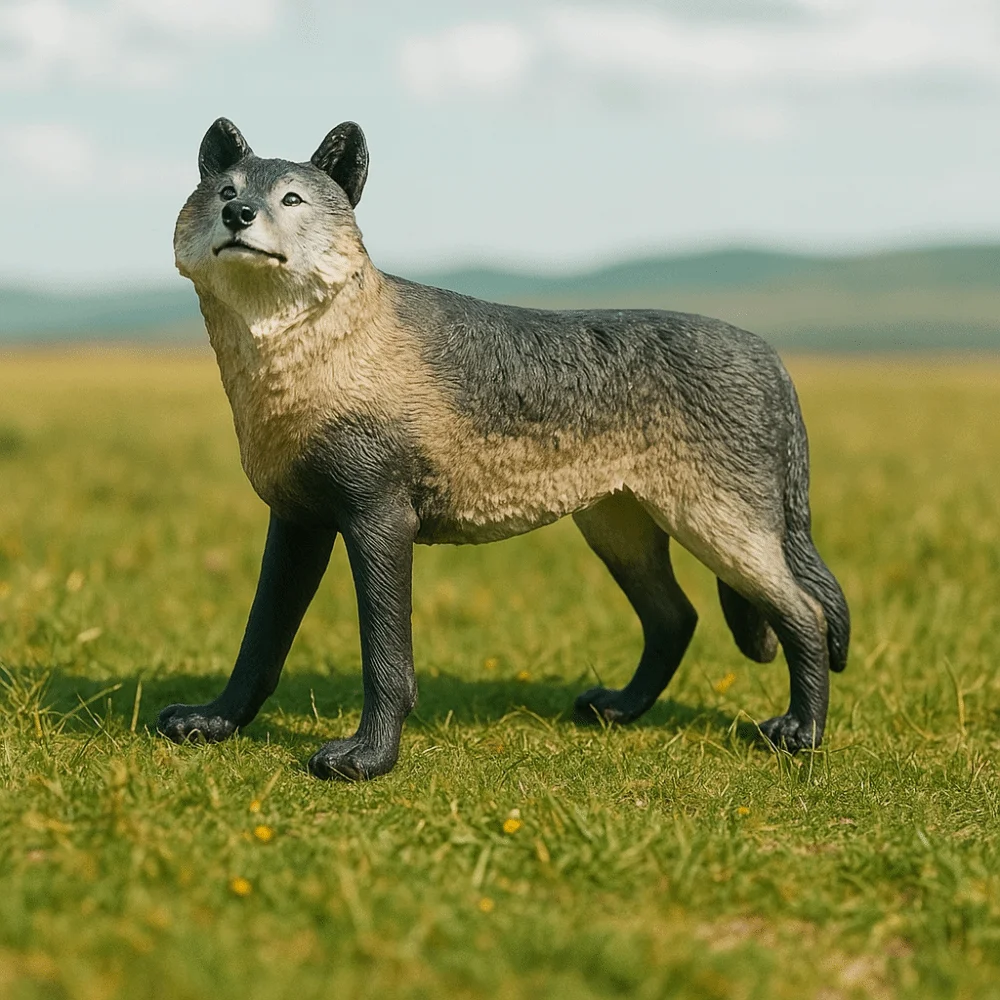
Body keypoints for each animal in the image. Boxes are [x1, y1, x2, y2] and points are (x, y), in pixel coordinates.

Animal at [160, 118, 850, 780]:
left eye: (291, 198)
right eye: (226, 190)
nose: (239, 215)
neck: (306, 364)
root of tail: (770, 355)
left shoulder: (379, 519)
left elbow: (385, 661)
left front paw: (368, 758)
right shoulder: (299, 520)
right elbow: (260, 644)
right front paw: (213, 722)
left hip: (718, 529)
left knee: (806, 614)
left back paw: (801, 733)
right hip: (621, 530)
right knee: (676, 618)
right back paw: (621, 709)